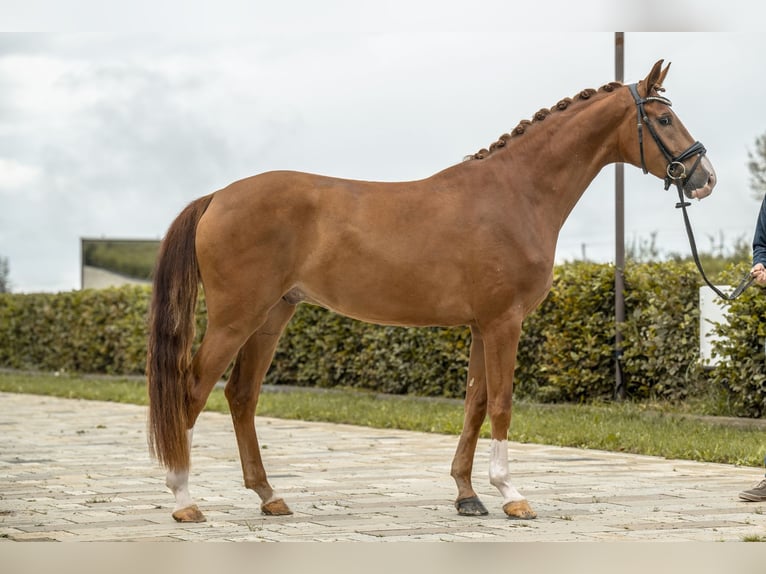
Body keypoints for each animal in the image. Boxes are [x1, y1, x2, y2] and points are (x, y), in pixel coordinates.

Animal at [146, 60, 720, 524]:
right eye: (663, 120)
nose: (705, 178)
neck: (516, 193)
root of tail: (217, 196)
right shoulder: (503, 323)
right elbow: (503, 403)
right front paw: (512, 494)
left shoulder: (480, 326)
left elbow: (475, 403)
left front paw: (468, 495)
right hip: (234, 318)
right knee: (191, 391)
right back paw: (184, 500)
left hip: (272, 316)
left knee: (241, 396)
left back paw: (269, 496)